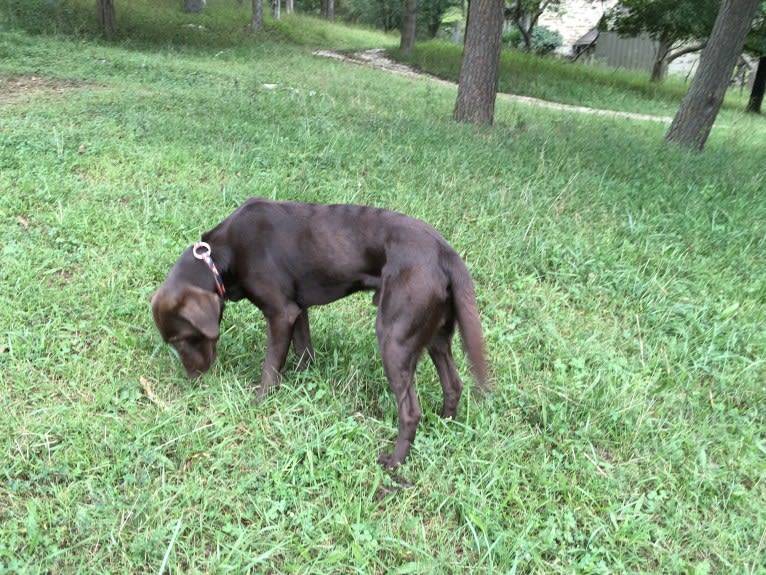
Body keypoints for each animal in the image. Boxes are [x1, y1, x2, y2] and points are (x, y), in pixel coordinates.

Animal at [152, 198, 488, 468]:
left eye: (182, 339)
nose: (194, 380)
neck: (221, 255)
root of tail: (445, 252)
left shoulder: (280, 313)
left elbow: (270, 368)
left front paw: (258, 403)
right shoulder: (297, 310)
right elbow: (304, 351)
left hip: (395, 337)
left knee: (410, 411)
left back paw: (394, 461)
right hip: (436, 334)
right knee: (453, 384)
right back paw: (445, 424)